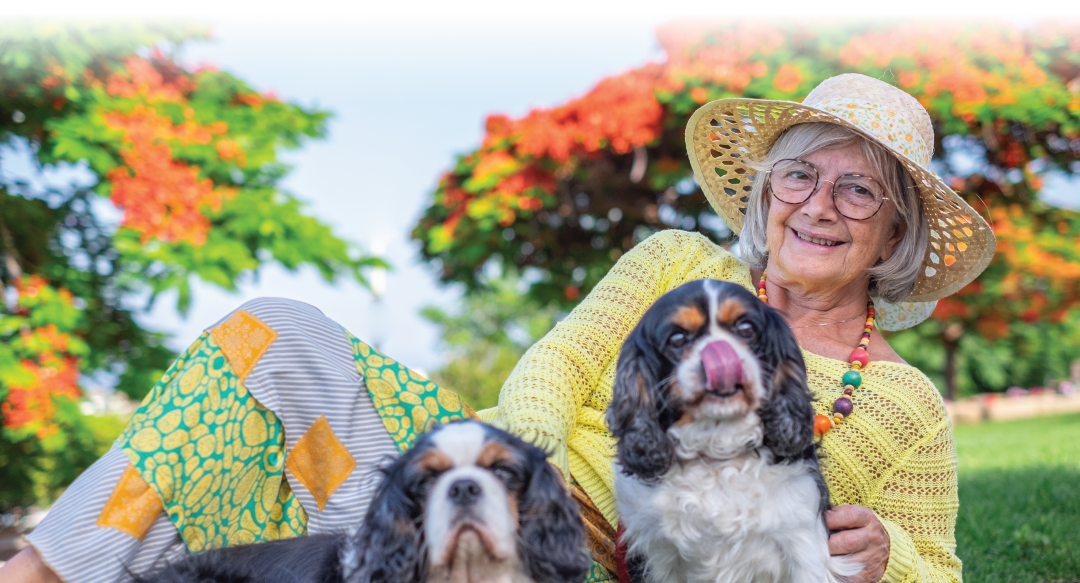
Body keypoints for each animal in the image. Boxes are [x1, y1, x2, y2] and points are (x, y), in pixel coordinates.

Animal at [609, 278, 851, 583]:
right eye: (677, 339)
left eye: (746, 329)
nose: (721, 353)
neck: (717, 454)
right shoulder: (659, 557)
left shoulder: (803, 546)